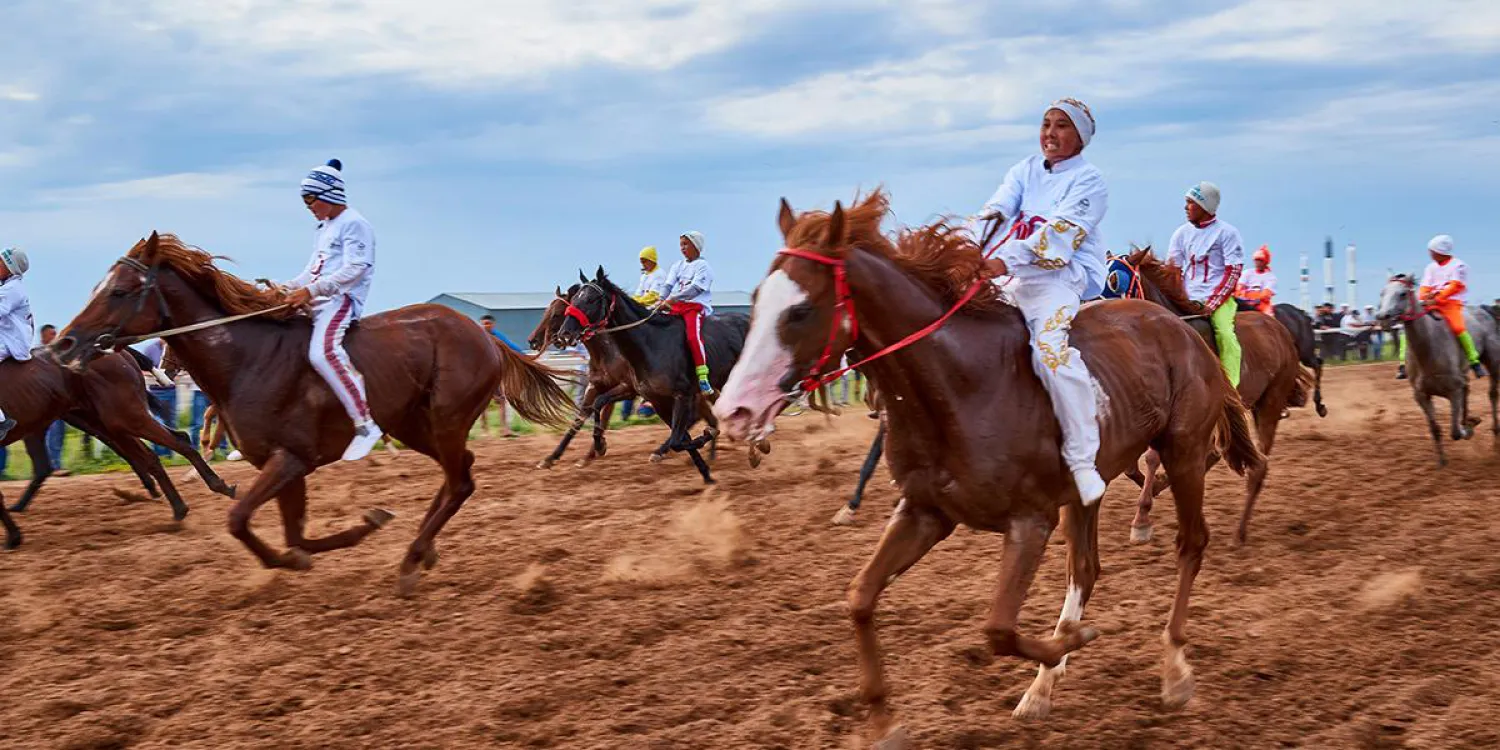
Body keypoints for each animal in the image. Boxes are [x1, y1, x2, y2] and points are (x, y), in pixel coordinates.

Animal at [0, 348, 234, 549]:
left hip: (121, 416)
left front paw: (13, 537)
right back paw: (179, 504)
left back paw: (213, 487)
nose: (168, 368)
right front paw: (14, 535)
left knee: (175, 443)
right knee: (155, 451)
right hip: (105, 420)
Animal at [54, 231, 573, 594]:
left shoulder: (291, 459)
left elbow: (240, 520)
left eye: (121, 291)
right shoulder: (284, 465)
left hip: (444, 421)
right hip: (414, 424)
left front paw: (337, 539)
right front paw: (360, 527)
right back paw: (423, 551)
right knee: (457, 475)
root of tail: (482, 334)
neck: (245, 359)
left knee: (460, 480)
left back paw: (411, 559)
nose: (65, 344)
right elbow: (294, 535)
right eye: (100, 285)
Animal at [708, 190, 1260, 741]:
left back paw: (1174, 669)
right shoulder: (925, 512)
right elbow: (860, 597)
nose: (734, 411)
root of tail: (1181, 330)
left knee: (1190, 544)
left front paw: (1072, 641)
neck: (961, 385)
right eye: (755, 300)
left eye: (799, 311)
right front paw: (884, 719)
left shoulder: (1030, 521)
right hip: (1089, 489)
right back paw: (1044, 686)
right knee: (1086, 569)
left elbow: (997, 628)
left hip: (1184, 452)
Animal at [1110, 249, 1308, 549]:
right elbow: (1133, 465)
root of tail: (1283, 331)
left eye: (1115, 281)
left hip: (1270, 403)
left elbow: (1152, 458)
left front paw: (1142, 517)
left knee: (1257, 465)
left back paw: (1239, 534)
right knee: (1220, 451)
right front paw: (1154, 487)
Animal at [1374, 273, 1494, 465]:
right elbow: (1435, 428)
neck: (1429, 350)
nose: (1383, 317)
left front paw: (1467, 428)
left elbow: (1455, 431)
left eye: (1402, 294)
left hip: (1493, 361)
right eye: (1382, 293)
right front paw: (1442, 461)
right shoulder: (1421, 395)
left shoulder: (1453, 391)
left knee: (1492, 394)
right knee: (1468, 390)